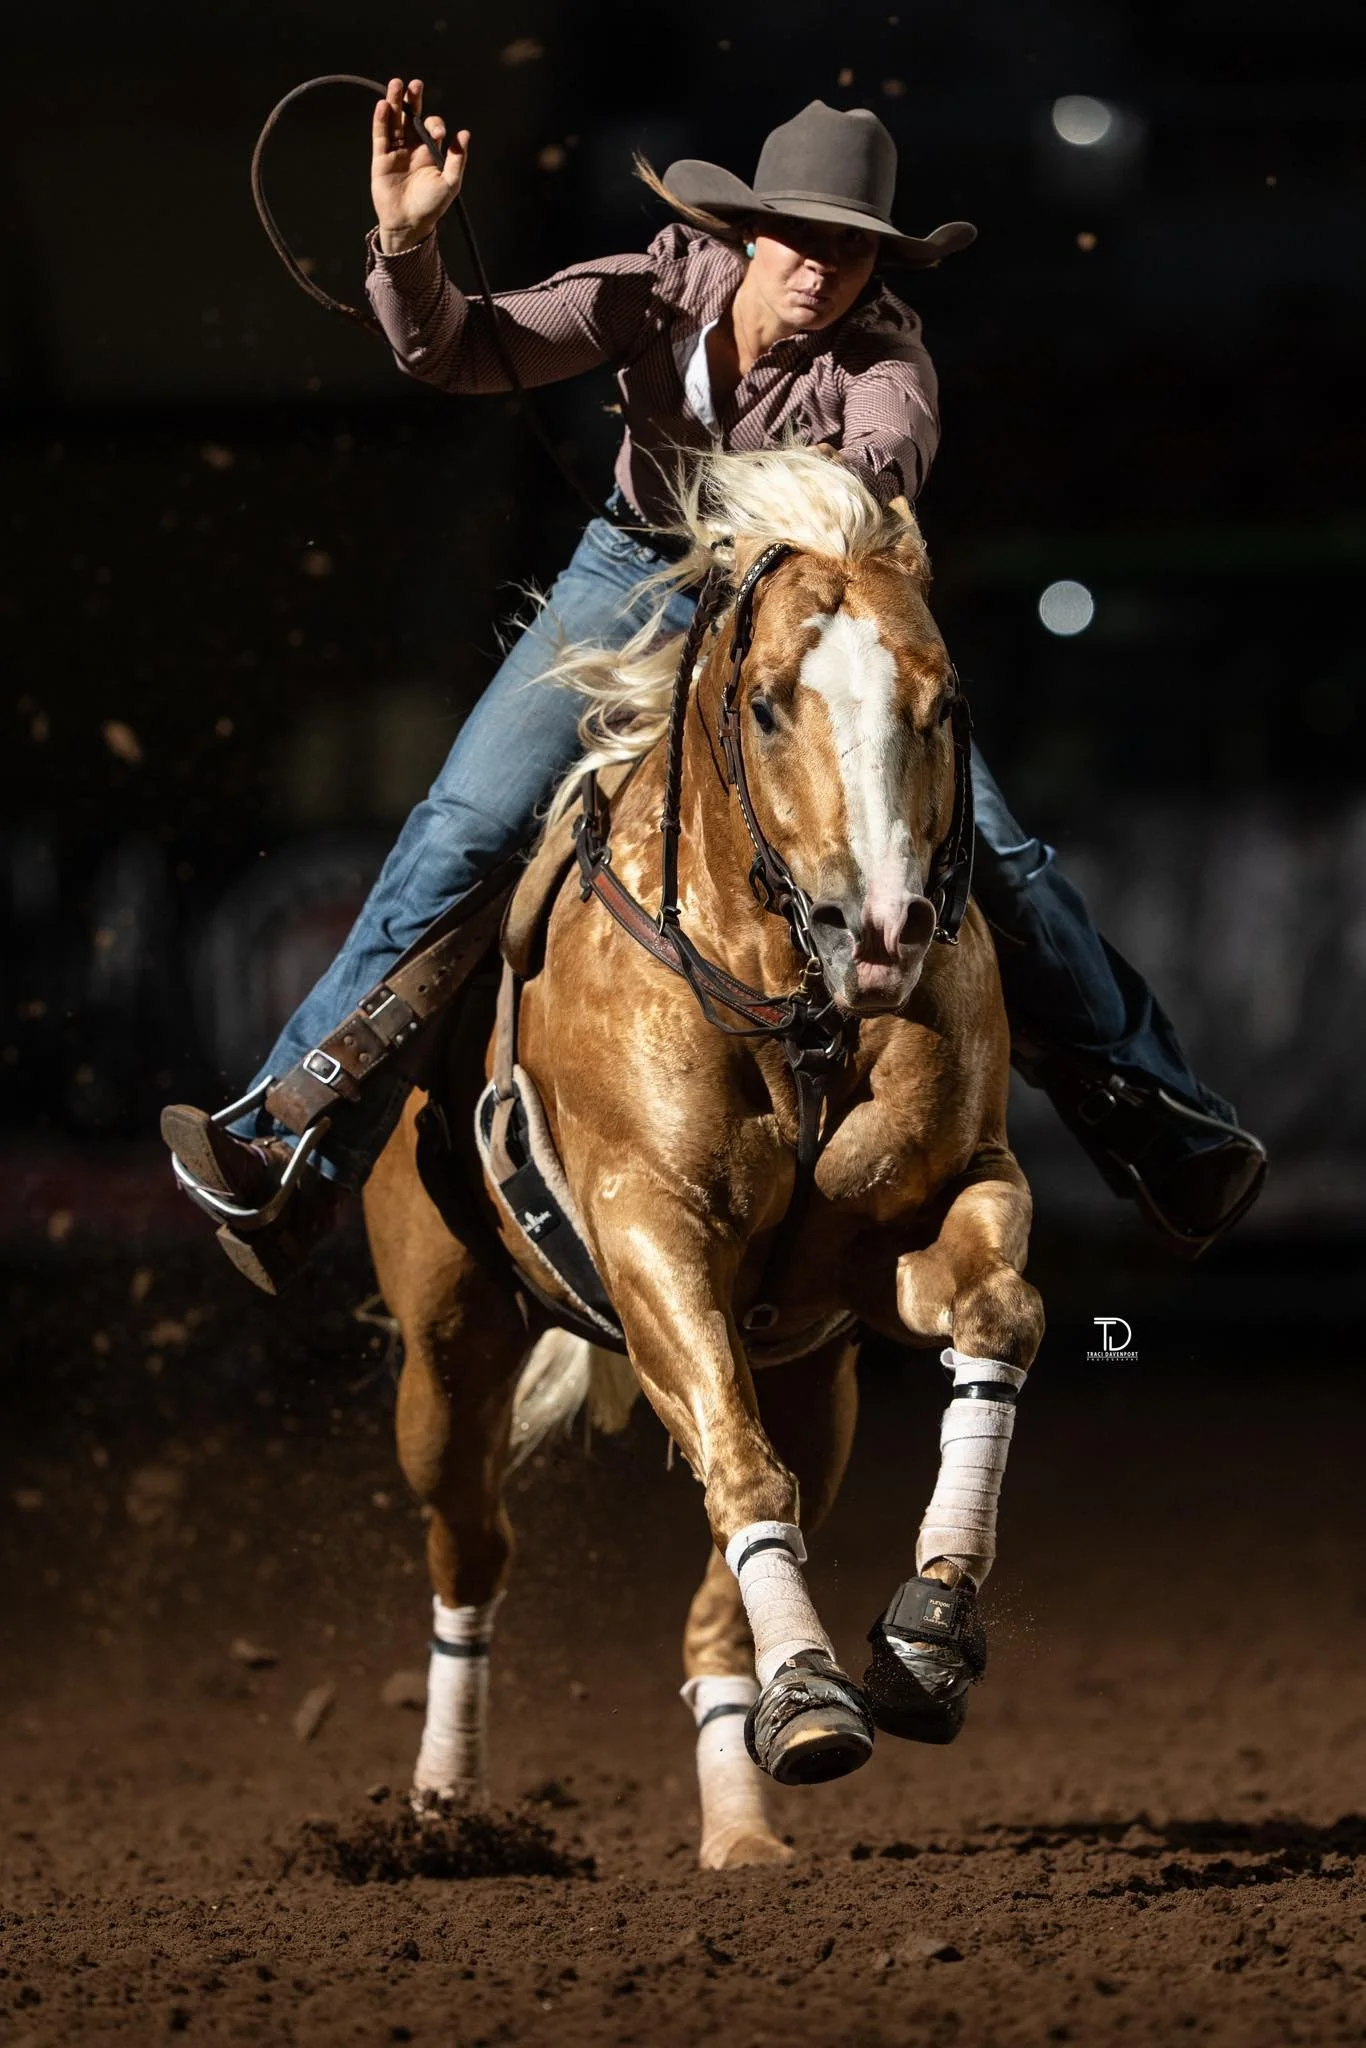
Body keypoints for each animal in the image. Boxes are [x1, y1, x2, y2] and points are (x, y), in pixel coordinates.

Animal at [362, 446, 1044, 1870]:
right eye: (773, 705)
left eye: (942, 703)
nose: (882, 928)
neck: (795, 1000)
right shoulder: (649, 1230)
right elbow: (734, 1459)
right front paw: (832, 1685)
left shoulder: (935, 1208)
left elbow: (1000, 1310)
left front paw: (922, 1639)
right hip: (445, 1352)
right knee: (474, 1552)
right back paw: (446, 1806)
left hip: (816, 1384)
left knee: (709, 1612)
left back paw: (745, 1815)